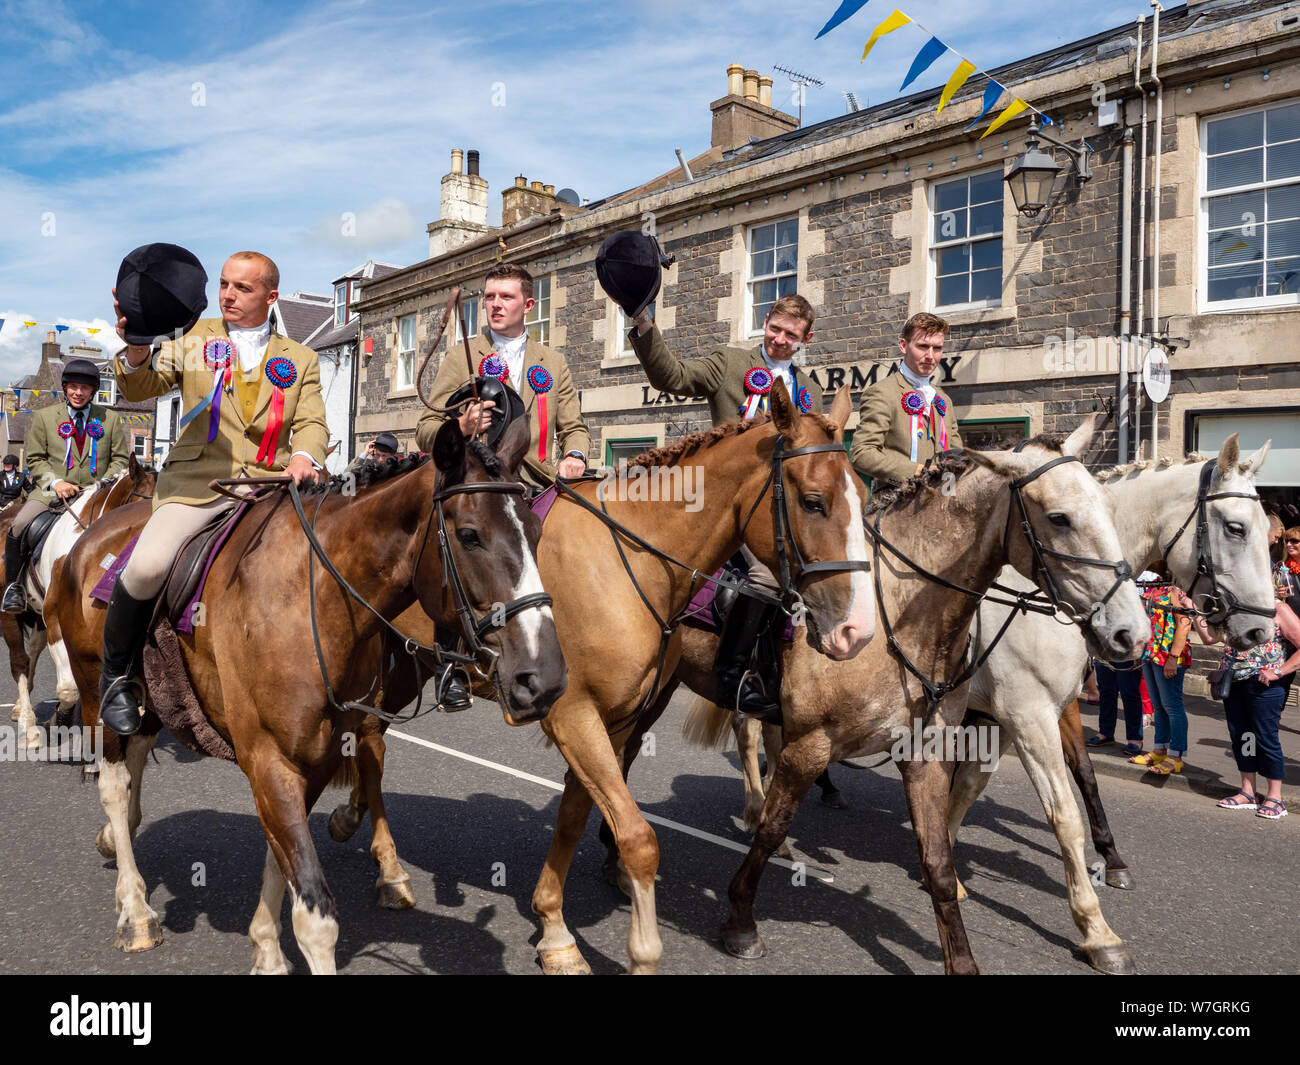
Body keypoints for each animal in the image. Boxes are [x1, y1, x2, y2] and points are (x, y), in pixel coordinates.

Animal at [47, 416, 564, 972]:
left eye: (537, 532)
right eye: (469, 536)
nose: (545, 677)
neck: (311, 594)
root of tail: (94, 533)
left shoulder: (314, 758)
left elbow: (282, 860)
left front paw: (266, 947)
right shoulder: (270, 758)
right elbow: (315, 915)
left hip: (159, 690)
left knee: (138, 754)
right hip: (97, 689)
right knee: (114, 782)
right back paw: (135, 907)